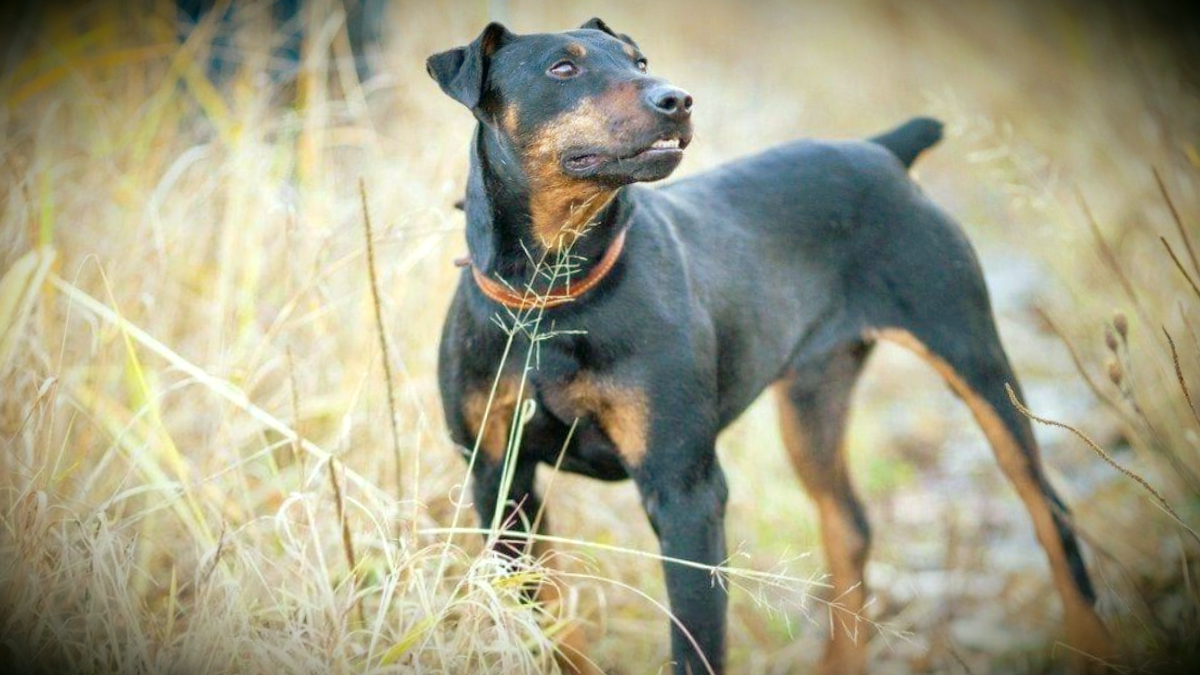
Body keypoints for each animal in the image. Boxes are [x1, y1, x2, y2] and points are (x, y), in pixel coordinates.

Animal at [427, 18, 1108, 667]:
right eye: (562, 68)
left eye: (639, 61)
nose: (676, 99)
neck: (552, 297)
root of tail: (884, 151)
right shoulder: (499, 481)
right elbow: (542, 620)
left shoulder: (686, 491)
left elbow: (696, 643)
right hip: (813, 401)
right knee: (848, 526)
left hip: (973, 360)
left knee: (1050, 512)